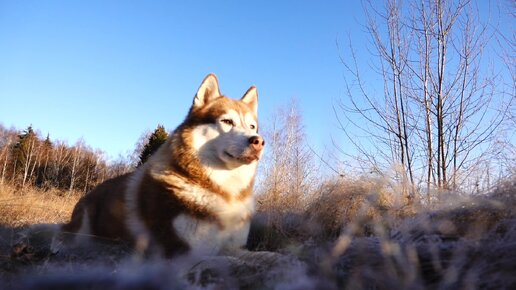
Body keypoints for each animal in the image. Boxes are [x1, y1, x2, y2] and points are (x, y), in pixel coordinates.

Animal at [58, 73, 264, 258]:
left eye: (252, 127)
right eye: (227, 121)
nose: (259, 141)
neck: (224, 191)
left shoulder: (235, 247)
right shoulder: (191, 251)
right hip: (81, 228)